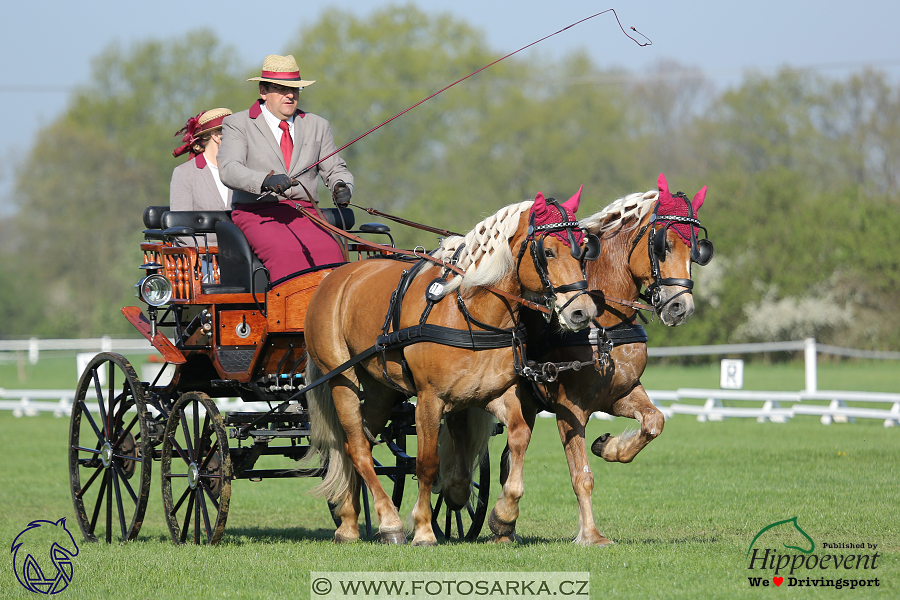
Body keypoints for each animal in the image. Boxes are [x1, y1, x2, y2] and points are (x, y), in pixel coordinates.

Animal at [308, 191, 596, 544]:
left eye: (581, 250)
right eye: (549, 252)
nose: (583, 312)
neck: (471, 311)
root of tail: (334, 277)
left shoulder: (494, 392)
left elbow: (517, 438)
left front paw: (502, 514)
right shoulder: (429, 400)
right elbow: (427, 464)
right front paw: (423, 529)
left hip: (380, 389)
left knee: (356, 442)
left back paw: (349, 522)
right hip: (341, 380)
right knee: (359, 448)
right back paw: (388, 522)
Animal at [516, 172, 712, 544]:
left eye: (697, 249)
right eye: (663, 245)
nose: (680, 307)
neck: (603, 324)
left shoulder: (618, 393)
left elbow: (654, 421)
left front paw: (610, 446)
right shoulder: (570, 408)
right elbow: (582, 476)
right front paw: (590, 535)